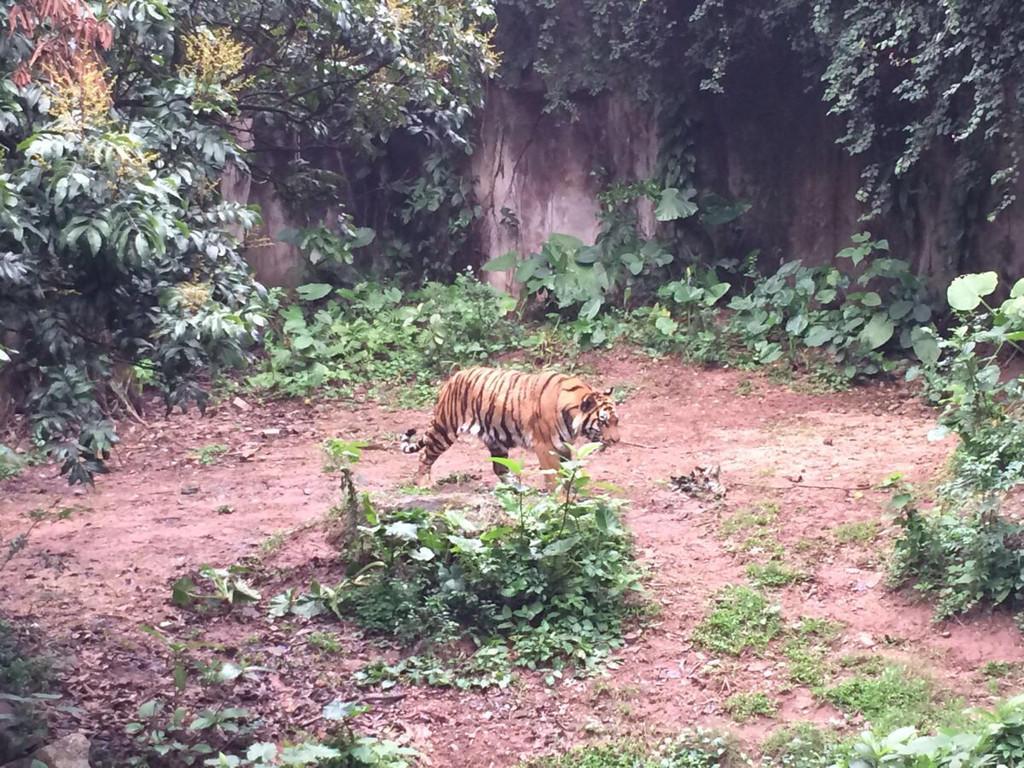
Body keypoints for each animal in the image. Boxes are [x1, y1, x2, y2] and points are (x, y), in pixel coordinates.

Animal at [403, 364, 618, 487]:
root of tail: (453, 378)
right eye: (603, 421)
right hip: (445, 429)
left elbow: (566, 473)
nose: (616, 440)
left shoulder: (564, 446)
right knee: (425, 454)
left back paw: (516, 488)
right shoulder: (545, 447)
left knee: (499, 468)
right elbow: (553, 475)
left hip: (495, 438)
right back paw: (423, 483)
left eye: (616, 421)